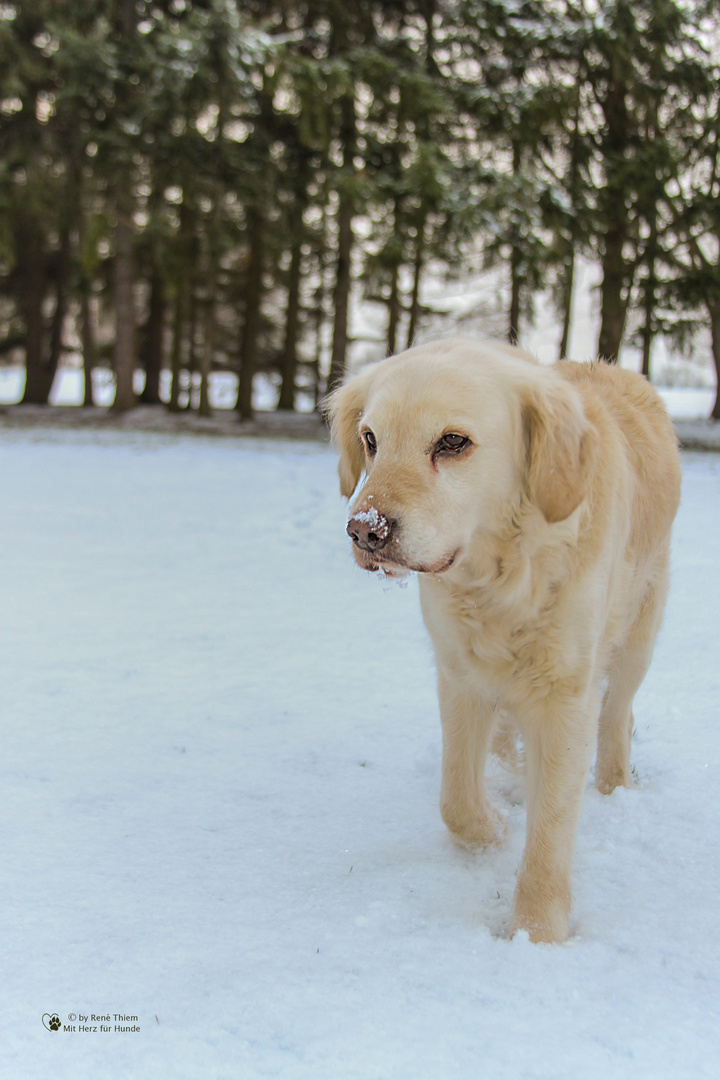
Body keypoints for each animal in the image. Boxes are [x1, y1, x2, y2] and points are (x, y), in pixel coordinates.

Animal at [325, 332, 682, 941]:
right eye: (370, 439)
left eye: (452, 442)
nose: (365, 531)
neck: (501, 579)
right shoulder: (459, 674)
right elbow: (455, 799)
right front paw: (492, 828)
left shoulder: (565, 692)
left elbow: (551, 828)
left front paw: (537, 935)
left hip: (640, 626)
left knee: (618, 714)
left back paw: (614, 789)